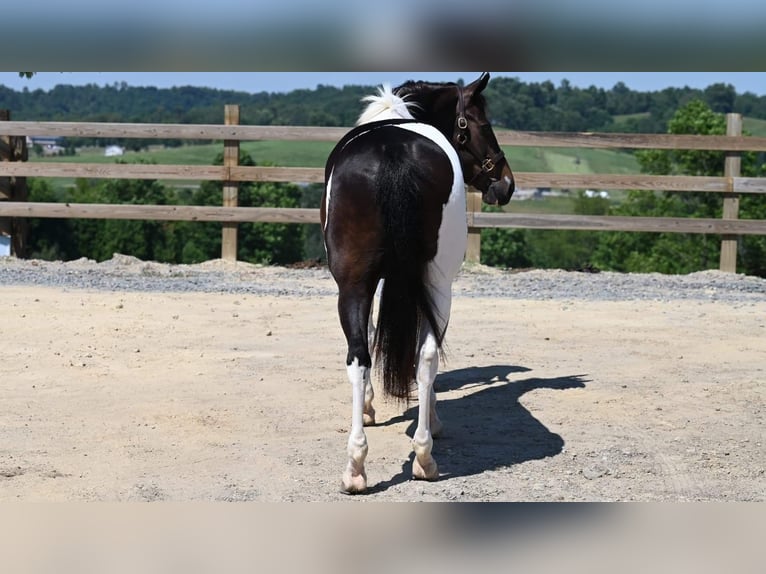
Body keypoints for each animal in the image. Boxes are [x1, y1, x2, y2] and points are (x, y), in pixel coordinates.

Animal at [320, 72, 512, 496]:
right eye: (480, 123)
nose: (506, 184)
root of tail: (393, 152)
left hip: (359, 284)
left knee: (367, 356)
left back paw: (364, 466)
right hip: (435, 284)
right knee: (420, 355)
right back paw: (415, 455)